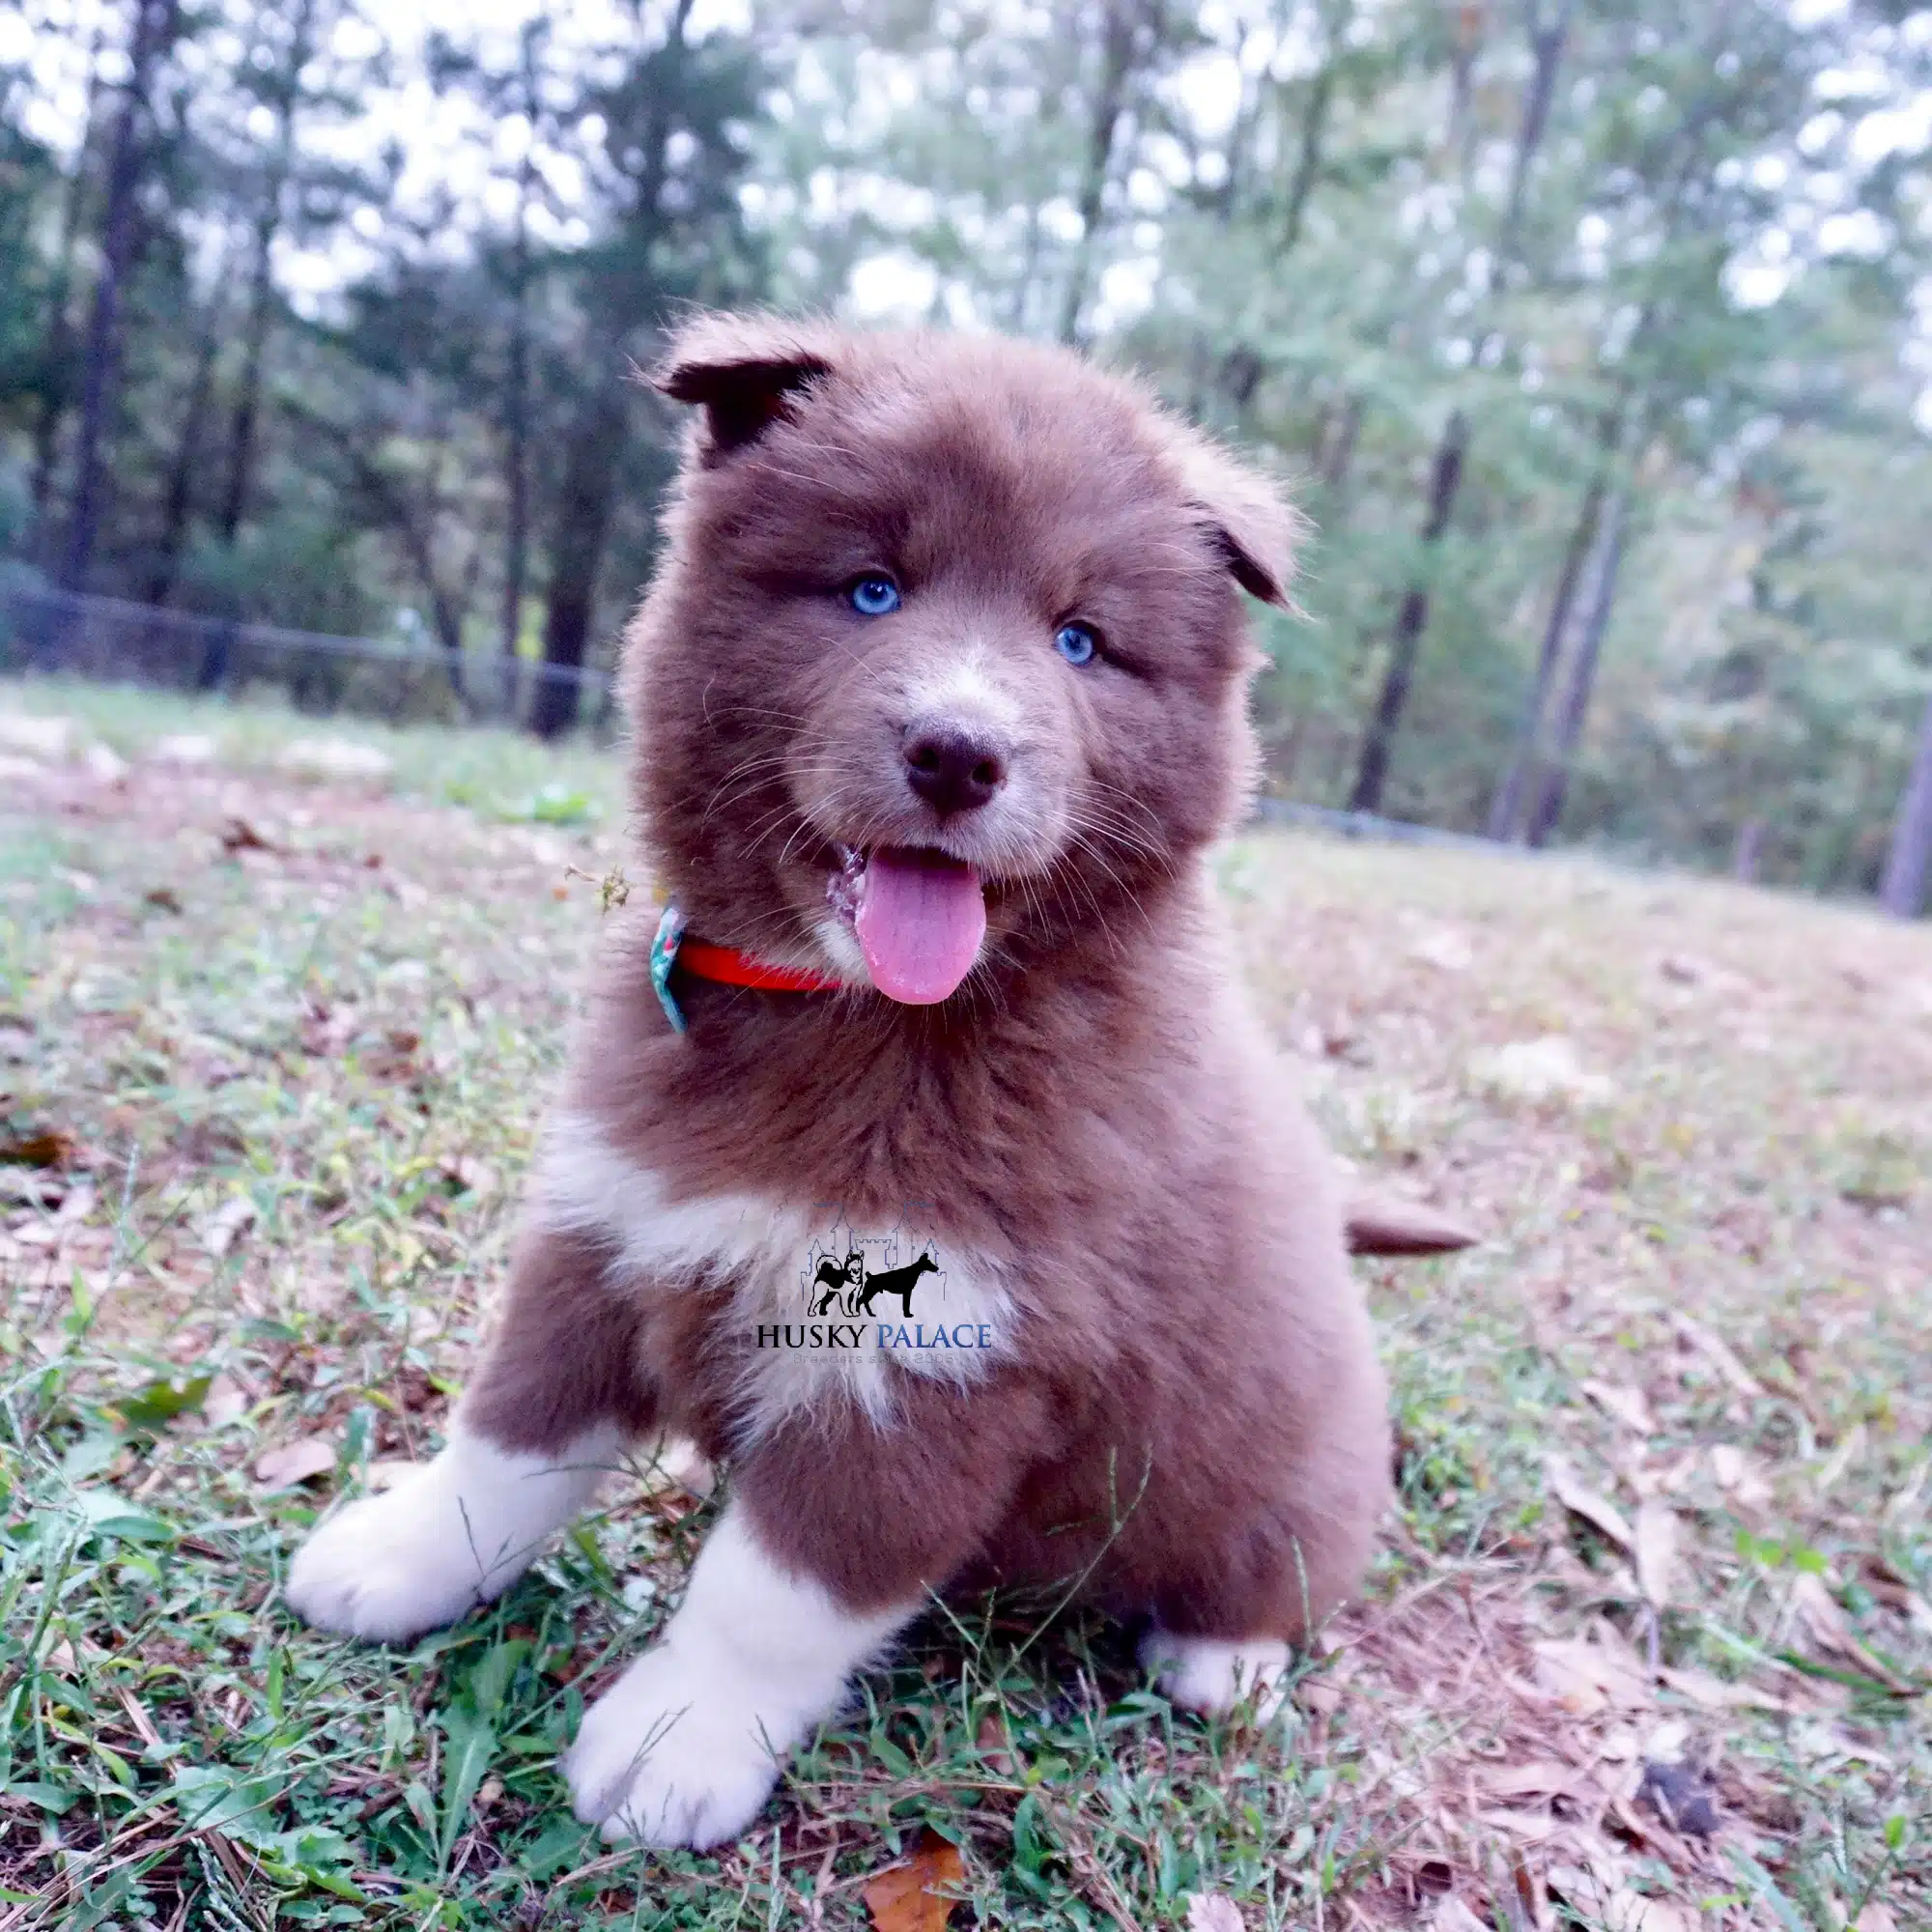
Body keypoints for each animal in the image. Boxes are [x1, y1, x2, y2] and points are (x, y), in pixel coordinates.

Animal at [286, 313, 1391, 1839]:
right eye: (873, 588)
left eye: (1080, 639)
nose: (959, 751)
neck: (854, 1014)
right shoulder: (608, 1220)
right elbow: (508, 1439)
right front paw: (402, 1559)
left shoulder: (945, 1358)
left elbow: (780, 1585)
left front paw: (675, 1740)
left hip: (1286, 1484)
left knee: (1272, 1576)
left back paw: (1220, 1659)